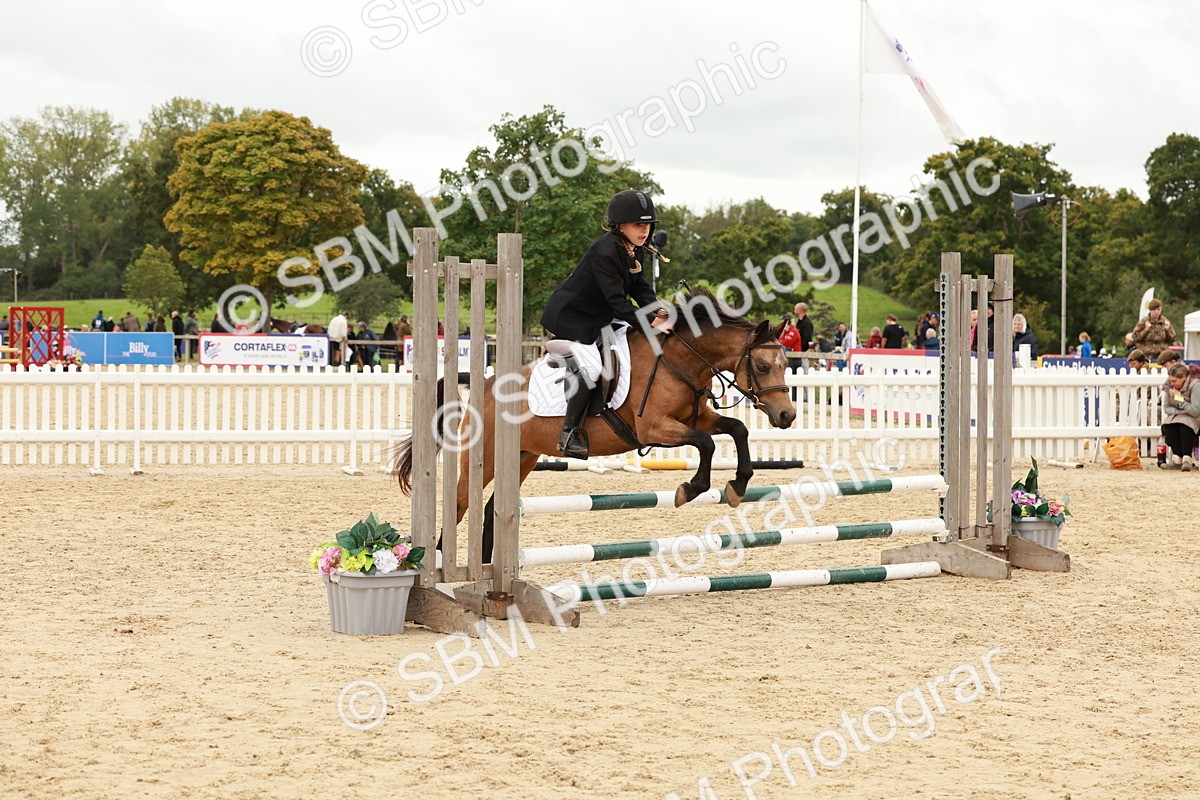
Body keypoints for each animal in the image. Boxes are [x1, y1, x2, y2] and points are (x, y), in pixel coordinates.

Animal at [394, 288, 797, 558]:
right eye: (762, 366)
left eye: (784, 364)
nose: (787, 416)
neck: (680, 360)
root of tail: (487, 385)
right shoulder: (653, 428)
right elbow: (706, 443)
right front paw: (690, 489)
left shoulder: (698, 418)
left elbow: (736, 430)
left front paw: (738, 486)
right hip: (485, 457)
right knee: (461, 505)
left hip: (522, 457)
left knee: (494, 513)